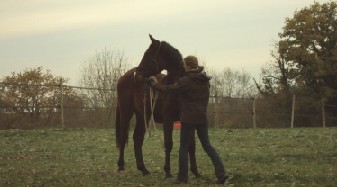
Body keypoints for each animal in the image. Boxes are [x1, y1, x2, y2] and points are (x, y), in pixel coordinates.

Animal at [115, 34, 200, 178]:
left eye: (148, 54)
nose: (137, 75)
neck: (177, 87)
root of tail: (124, 77)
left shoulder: (189, 120)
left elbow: (191, 145)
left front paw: (195, 172)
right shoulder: (168, 119)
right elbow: (168, 144)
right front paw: (167, 172)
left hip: (142, 115)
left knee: (137, 138)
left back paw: (143, 169)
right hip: (126, 113)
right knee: (123, 137)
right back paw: (121, 166)